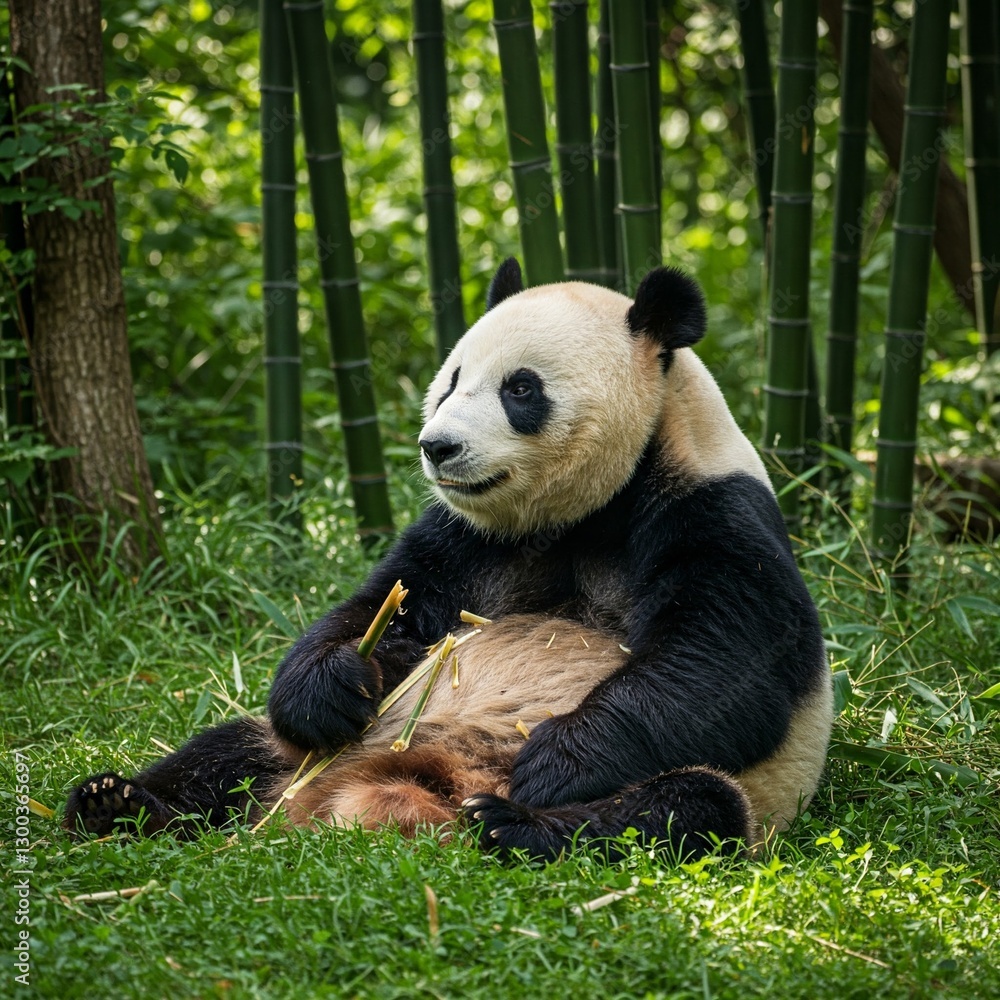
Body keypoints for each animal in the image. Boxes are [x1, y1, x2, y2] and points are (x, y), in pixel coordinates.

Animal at [65, 260, 833, 861]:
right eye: (452, 379)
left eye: (520, 388)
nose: (438, 446)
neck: (591, 506)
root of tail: (378, 797)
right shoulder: (467, 535)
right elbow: (388, 606)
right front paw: (334, 682)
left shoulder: (710, 509)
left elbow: (723, 663)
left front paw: (555, 760)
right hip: (312, 753)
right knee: (231, 747)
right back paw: (115, 805)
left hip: (735, 797)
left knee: (682, 808)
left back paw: (511, 823)